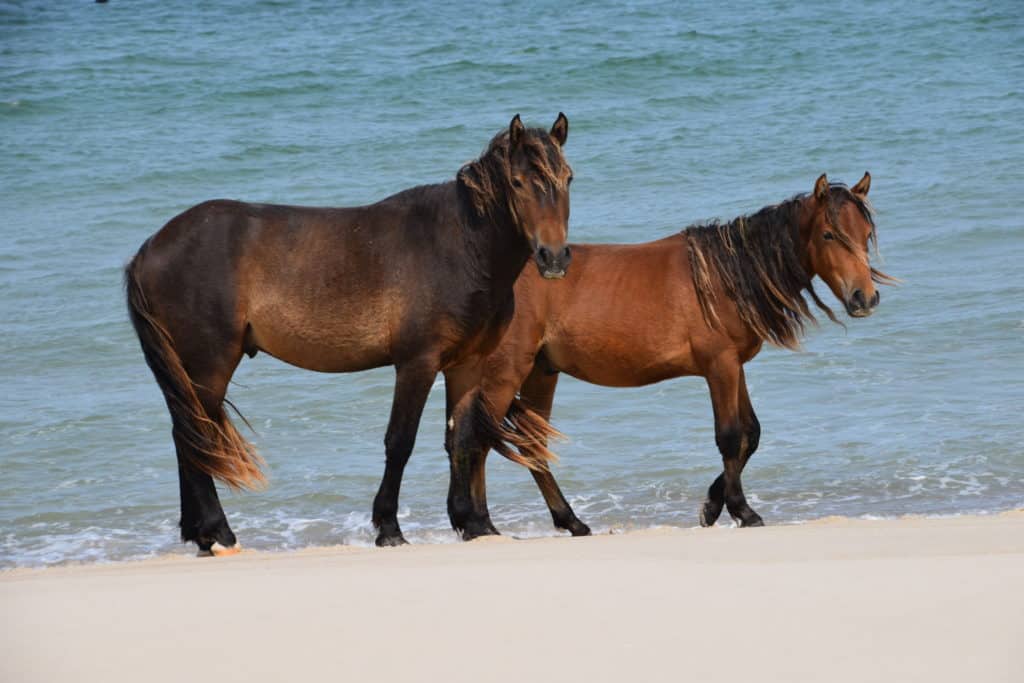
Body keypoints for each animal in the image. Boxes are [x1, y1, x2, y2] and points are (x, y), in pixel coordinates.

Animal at [125, 113, 577, 548]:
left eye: (568, 178)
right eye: (517, 182)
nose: (553, 257)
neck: (460, 247)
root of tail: (150, 247)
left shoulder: (466, 365)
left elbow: (461, 441)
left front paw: (474, 523)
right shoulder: (416, 364)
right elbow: (400, 442)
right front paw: (389, 527)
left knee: (187, 436)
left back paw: (200, 533)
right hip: (210, 364)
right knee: (195, 436)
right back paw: (219, 533)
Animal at [444, 172, 892, 540]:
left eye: (867, 232)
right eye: (829, 234)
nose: (864, 299)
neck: (724, 277)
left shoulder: (734, 367)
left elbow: (751, 434)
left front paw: (712, 506)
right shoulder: (719, 366)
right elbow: (731, 437)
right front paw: (742, 511)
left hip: (540, 372)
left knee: (522, 444)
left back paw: (568, 521)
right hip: (508, 372)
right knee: (476, 440)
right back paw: (479, 524)